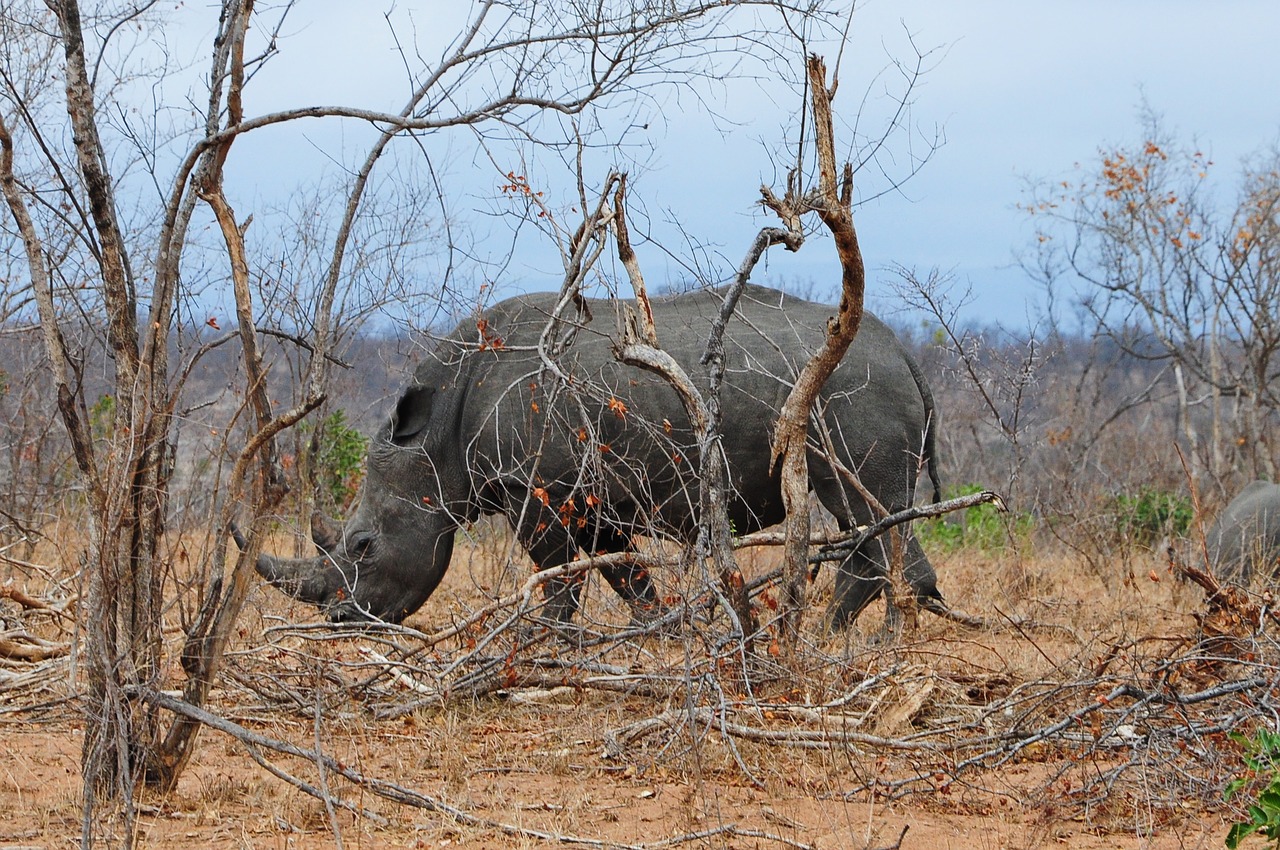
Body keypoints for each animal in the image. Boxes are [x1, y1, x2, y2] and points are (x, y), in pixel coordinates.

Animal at [254, 285, 947, 629]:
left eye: (363, 545)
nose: (340, 618)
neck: (437, 436)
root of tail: (904, 355)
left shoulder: (535, 490)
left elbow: (558, 576)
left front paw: (544, 646)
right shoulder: (590, 496)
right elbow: (626, 575)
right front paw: (660, 633)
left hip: (855, 393)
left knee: (867, 512)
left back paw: (848, 647)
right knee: (873, 519)